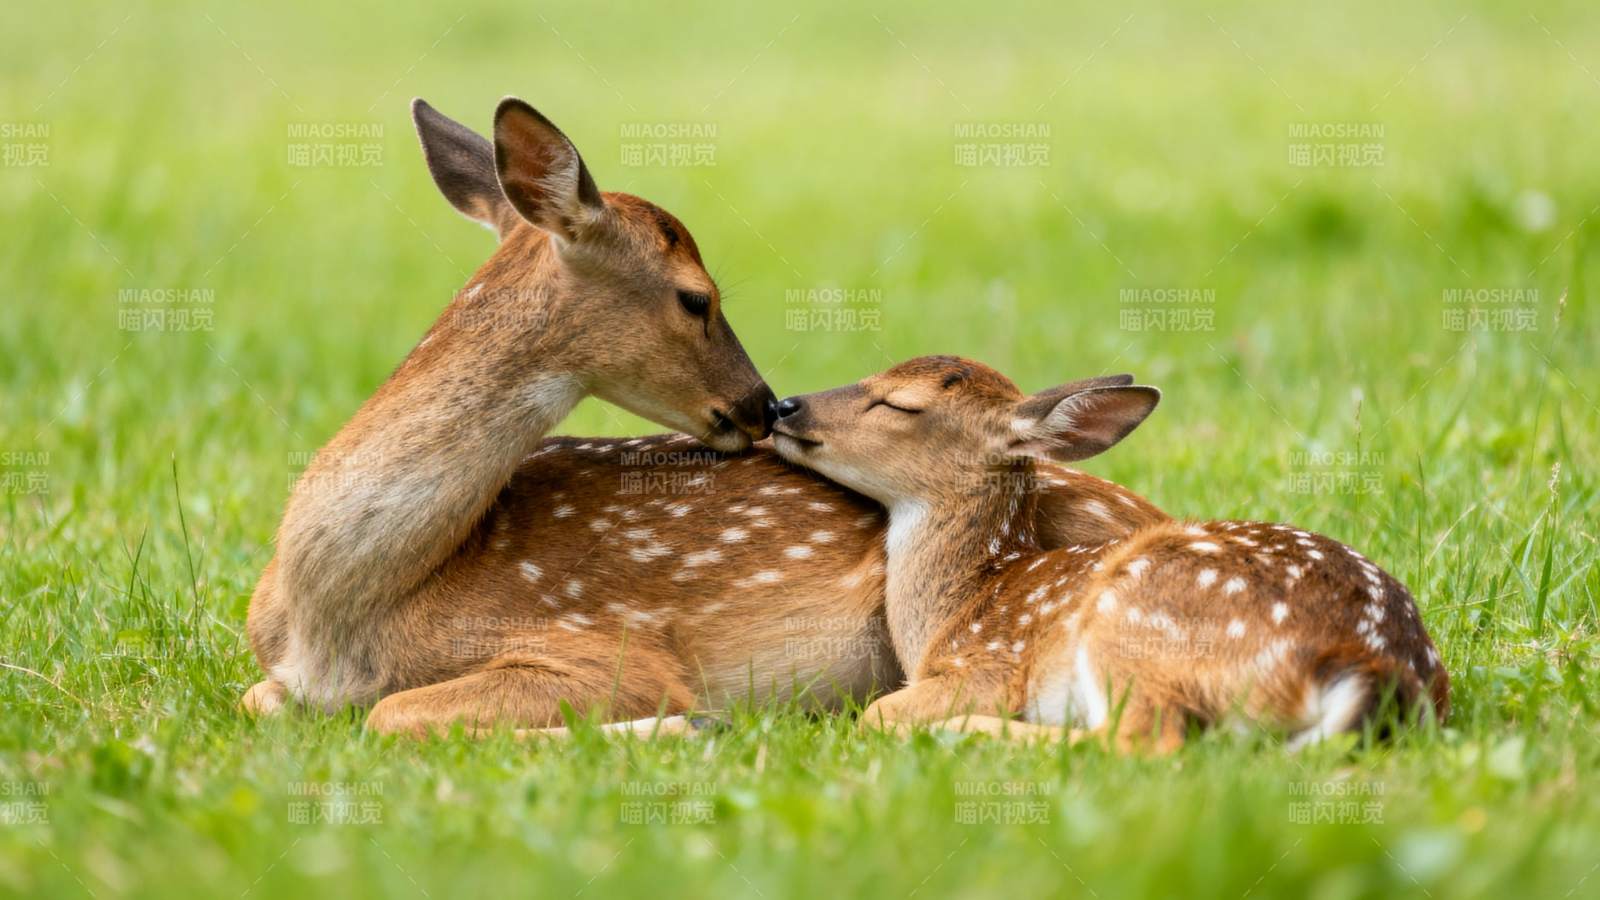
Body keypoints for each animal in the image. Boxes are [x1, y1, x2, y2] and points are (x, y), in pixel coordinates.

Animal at [243, 99, 1171, 737]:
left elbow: (389, 715)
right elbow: (265, 700)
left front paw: (686, 724)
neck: (342, 618)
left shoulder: (606, 649)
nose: (765, 403)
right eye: (697, 297)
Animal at [769, 356, 1449, 751]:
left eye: (899, 404)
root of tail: (1366, 663)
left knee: (1141, 742)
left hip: (1136, 621)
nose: (784, 405)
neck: (957, 608)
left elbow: (876, 713)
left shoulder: (987, 666)